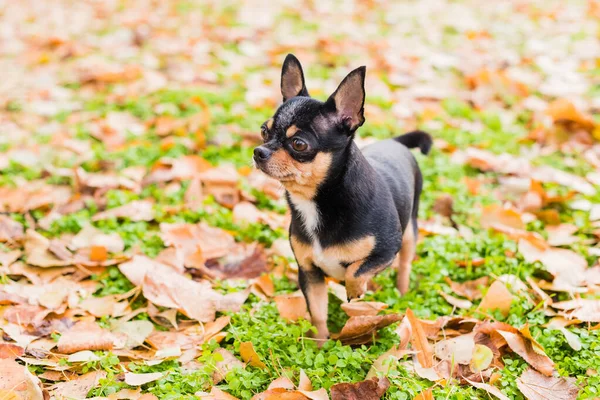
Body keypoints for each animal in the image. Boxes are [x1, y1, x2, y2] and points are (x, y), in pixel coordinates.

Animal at [253, 54, 432, 340]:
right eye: (264, 131)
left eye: (299, 144)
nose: (259, 152)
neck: (318, 202)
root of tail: (396, 142)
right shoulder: (309, 273)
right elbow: (318, 312)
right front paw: (319, 343)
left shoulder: (385, 251)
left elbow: (355, 271)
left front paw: (356, 293)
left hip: (408, 234)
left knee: (404, 264)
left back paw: (402, 292)